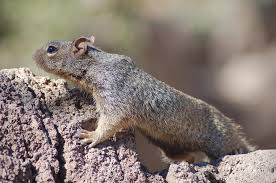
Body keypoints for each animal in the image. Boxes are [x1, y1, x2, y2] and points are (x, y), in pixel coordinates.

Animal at [33, 35, 256, 163]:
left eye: (51, 49)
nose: (34, 55)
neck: (97, 65)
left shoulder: (115, 92)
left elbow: (112, 120)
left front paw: (92, 135)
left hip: (221, 139)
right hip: (169, 144)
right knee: (187, 156)